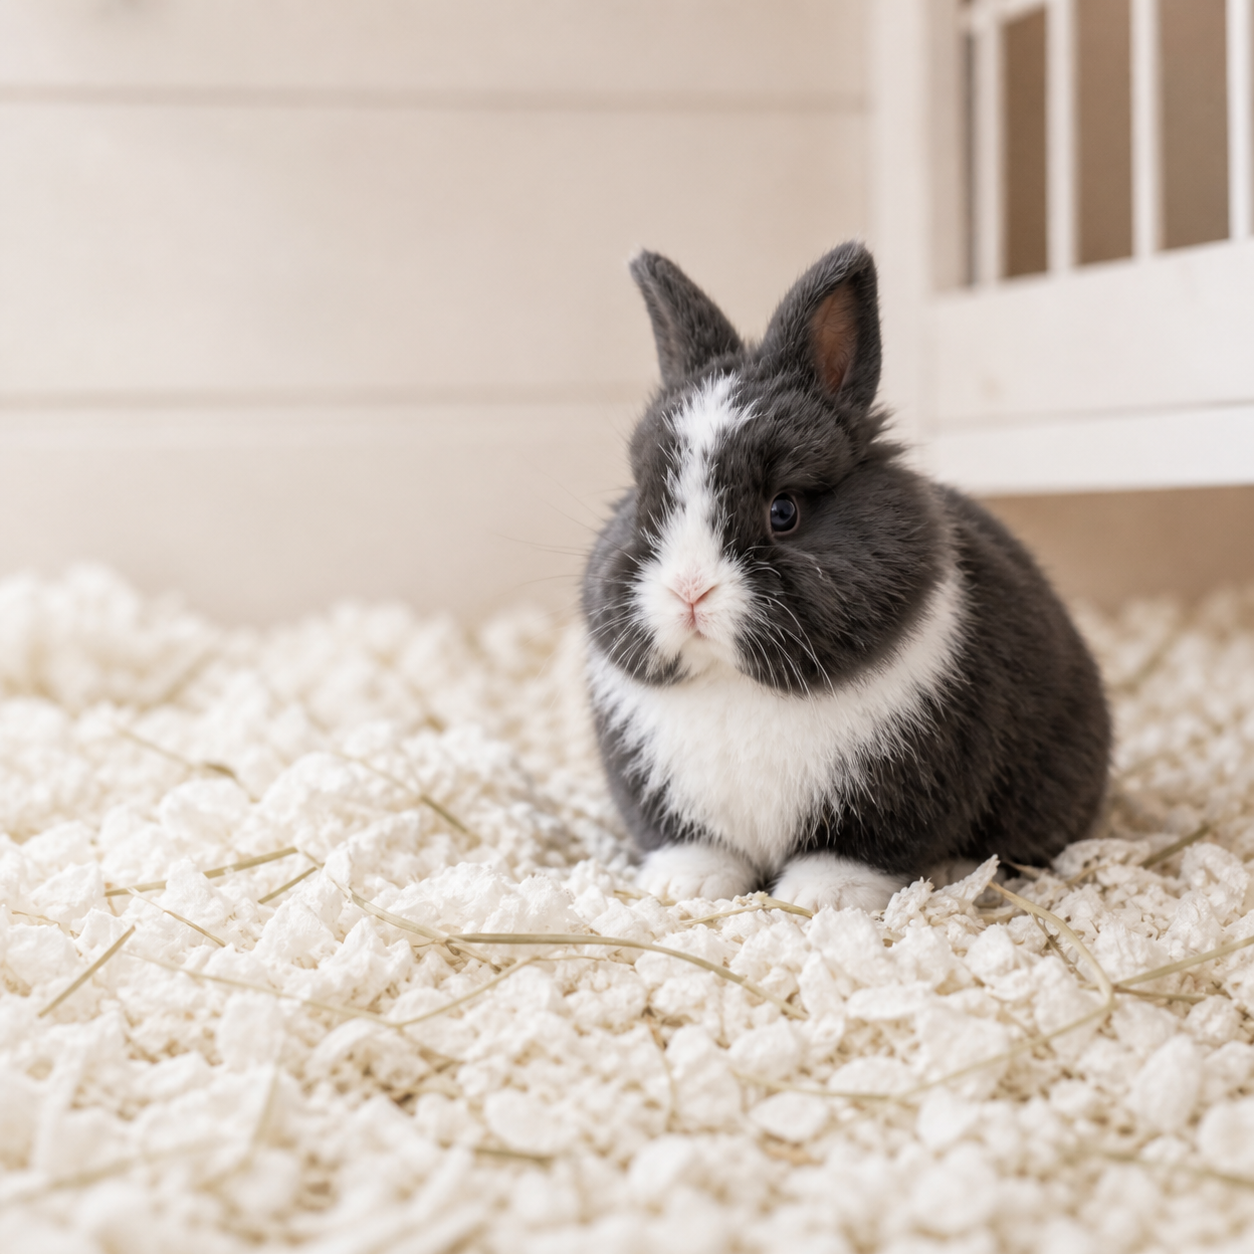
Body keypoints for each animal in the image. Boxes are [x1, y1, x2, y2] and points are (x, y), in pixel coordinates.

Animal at [581, 241, 1111, 913]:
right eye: (645, 500)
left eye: (784, 511)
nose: (689, 592)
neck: (737, 684)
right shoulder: (659, 793)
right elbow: (695, 844)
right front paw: (685, 885)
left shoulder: (896, 788)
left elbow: (855, 851)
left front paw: (823, 897)